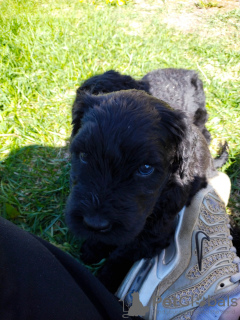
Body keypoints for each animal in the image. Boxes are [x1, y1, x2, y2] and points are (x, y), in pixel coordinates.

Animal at [65, 88, 219, 292]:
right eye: (83, 155)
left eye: (145, 168)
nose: (95, 223)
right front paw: (92, 247)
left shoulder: (154, 235)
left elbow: (120, 255)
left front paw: (103, 281)